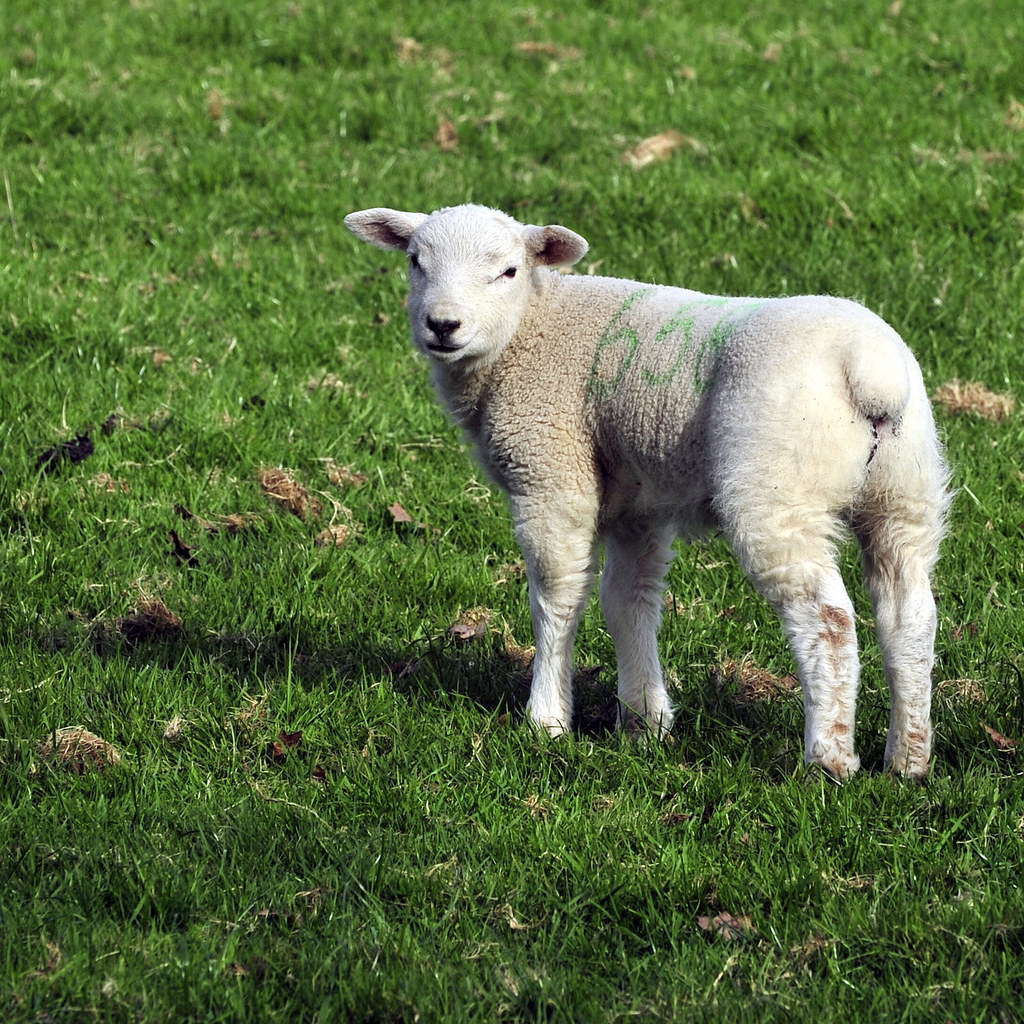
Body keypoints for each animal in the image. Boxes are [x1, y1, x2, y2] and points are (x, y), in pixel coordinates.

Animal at [346, 203, 950, 778]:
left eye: (508, 270)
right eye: (415, 261)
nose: (442, 325)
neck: (530, 329)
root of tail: (869, 371)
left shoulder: (551, 476)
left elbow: (557, 599)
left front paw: (547, 722)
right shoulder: (638, 504)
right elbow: (628, 601)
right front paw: (645, 721)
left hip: (777, 487)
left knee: (826, 620)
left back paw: (829, 759)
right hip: (906, 490)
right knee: (910, 616)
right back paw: (908, 760)